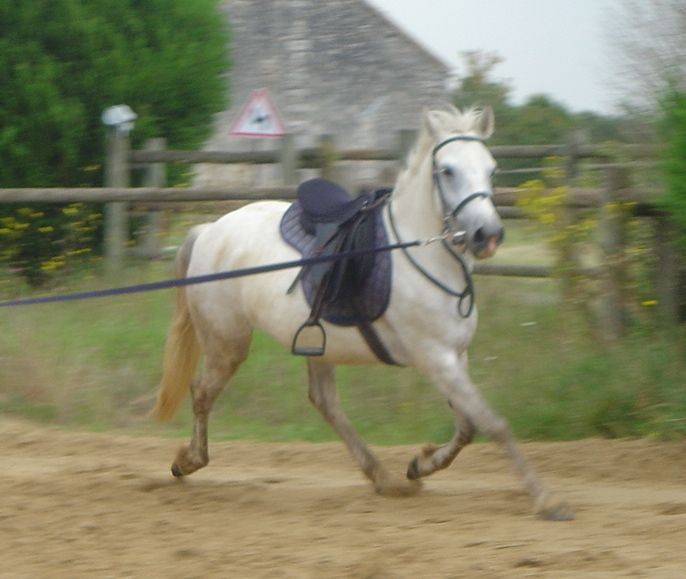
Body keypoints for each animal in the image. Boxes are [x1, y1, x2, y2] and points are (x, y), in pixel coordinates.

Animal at [152, 106, 573, 521]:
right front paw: (546, 500)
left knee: (324, 402)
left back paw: (384, 477)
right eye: (447, 170)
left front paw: (419, 465)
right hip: (227, 341)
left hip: (313, 343)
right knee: (203, 392)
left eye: (492, 169)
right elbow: (494, 424)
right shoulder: (437, 358)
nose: (488, 235)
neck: (420, 254)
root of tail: (210, 230)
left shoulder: (457, 356)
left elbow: (469, 426)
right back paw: (187, 461)